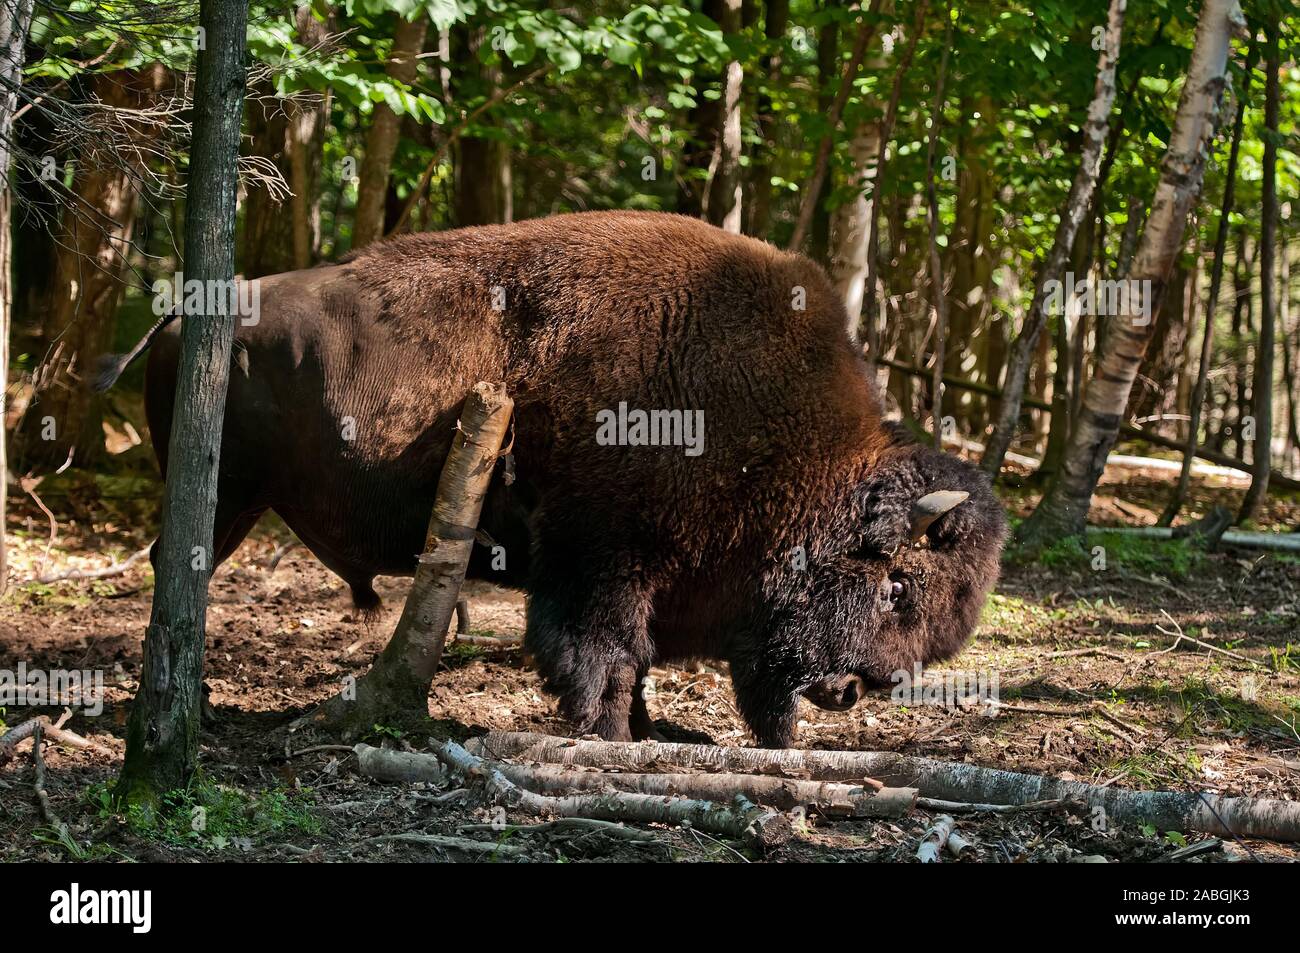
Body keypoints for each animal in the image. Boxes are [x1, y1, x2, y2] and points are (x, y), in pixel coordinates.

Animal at [106, 211, 1008, 748]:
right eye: (897, 585)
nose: (855, 688)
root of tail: (186, 312)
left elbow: (637, 657)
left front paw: (646, 727)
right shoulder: (601, 562)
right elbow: (603, 652)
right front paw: (610, 735)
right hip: (226, 499)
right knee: (179, 567)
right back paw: (195, 708)